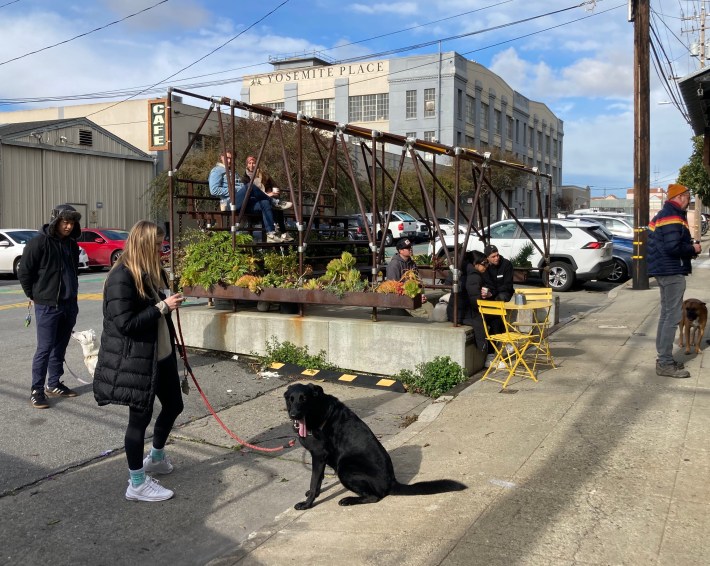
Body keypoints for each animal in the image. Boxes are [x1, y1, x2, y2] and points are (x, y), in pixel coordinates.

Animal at [284, 382, 468, 510]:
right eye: (290, 399)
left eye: (304, 399)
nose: (294, 415)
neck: (317, 411)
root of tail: (392, 482)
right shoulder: (320, 458)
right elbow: (318, 480)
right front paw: (312, 494)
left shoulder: (319, 456)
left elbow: (314, 481)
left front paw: (307, 504)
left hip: (345, 468)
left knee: (375, 497)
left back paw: (349, 500)